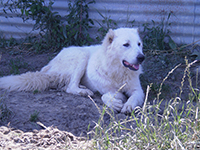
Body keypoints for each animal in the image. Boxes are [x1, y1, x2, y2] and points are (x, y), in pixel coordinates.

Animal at [0, 27, 145, 113]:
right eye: (126, 45)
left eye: (139, 44)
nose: (141, 57)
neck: (118, 72)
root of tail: (50, 66)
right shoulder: (109, 90)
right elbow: (106, 95)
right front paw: (114, 103)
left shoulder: (138, 91)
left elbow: (133, 97)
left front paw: (128, 105)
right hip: (81, 56)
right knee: (70, 87)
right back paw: (84, 91)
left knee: (67, 86)